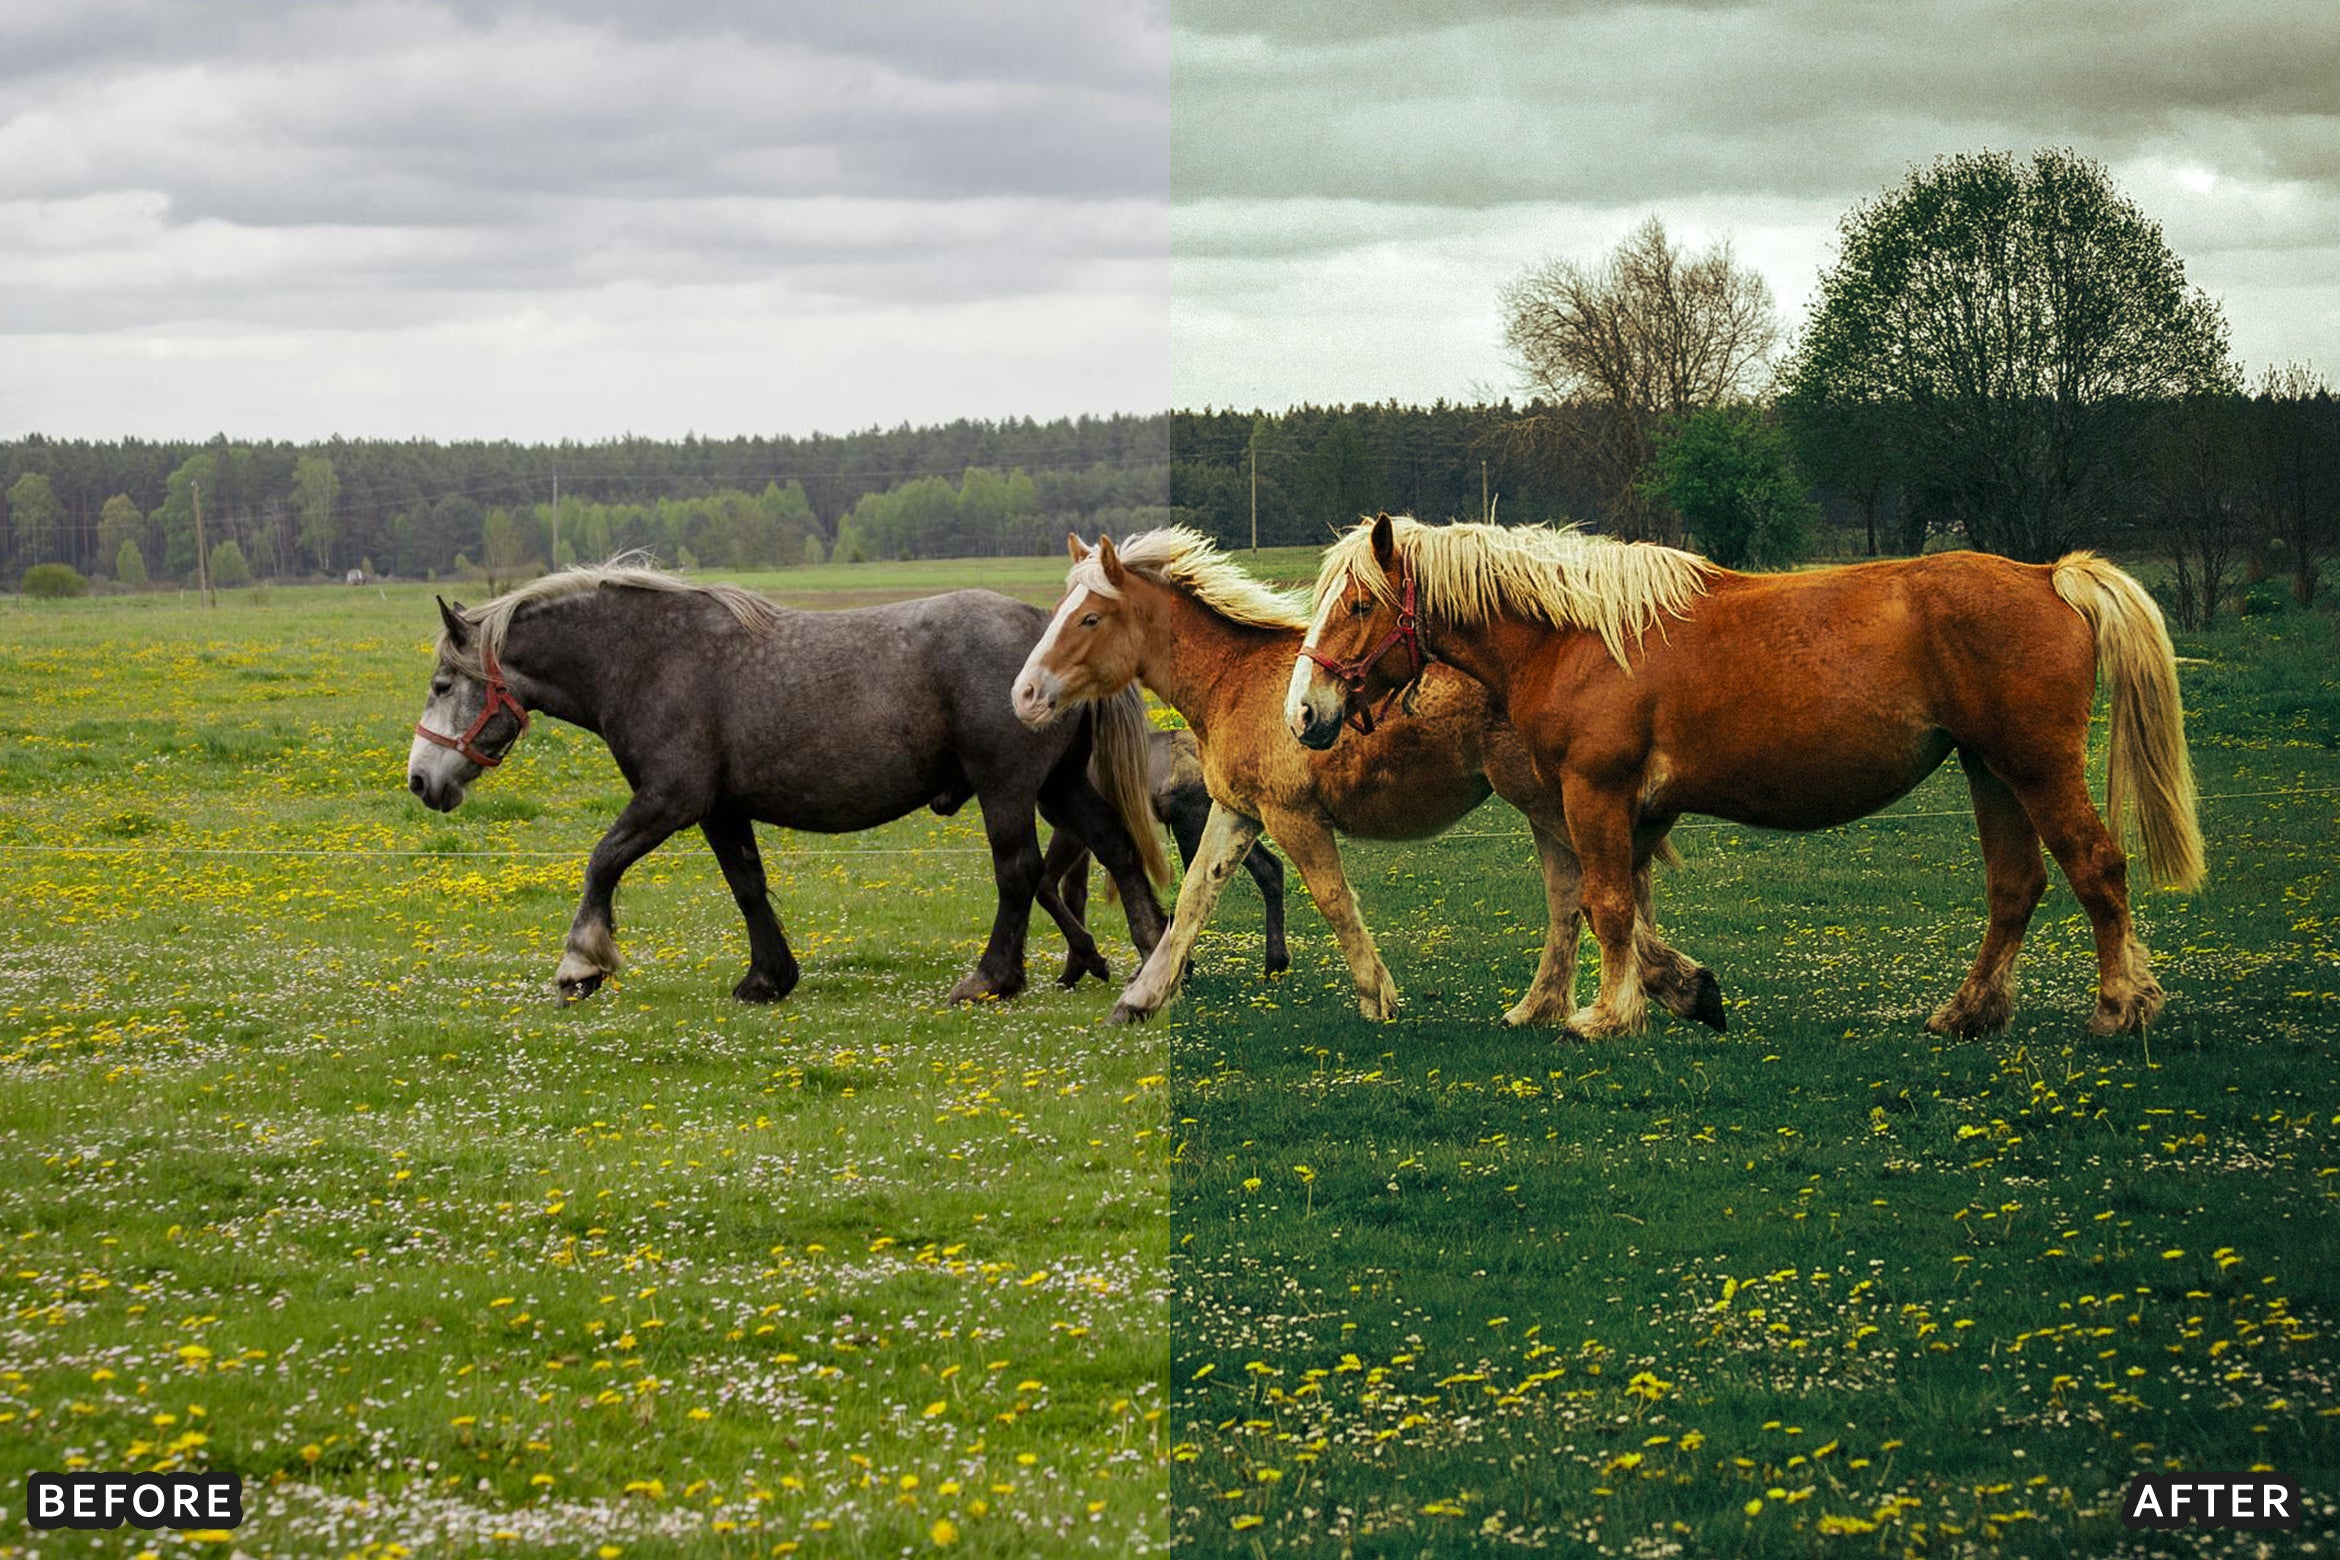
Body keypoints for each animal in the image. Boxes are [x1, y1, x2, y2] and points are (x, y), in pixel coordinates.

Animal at [404, 562, 1169, 1005]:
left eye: (442, 685)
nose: (419, 779)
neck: (650, 657)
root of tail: (1047, 634)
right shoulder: (719, 809)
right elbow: (746, 885)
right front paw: (768, 977)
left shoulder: (670, 799)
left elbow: (602, 861)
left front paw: (580, 963)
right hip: (1058, 786)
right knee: (1117, 848)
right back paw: (1152, 955)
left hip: (1008, 788)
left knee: (1018, 874)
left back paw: (992, 979)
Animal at [1011, 529, 1721, 1027]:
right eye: (1061, 607)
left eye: (1090, 618)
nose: (1025, 695)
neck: (1234, 680)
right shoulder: (1235, 812)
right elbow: (1192, 901)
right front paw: (1141, 998)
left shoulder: (1293, 818)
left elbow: (1333, 900)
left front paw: (1377, 996)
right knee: (1596, 889)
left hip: (1548, 800)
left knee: (1589, 891)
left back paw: (1656, 989)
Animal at [1289, 514, 2204, 1039]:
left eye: (1360, 604)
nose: (1305, 713)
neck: (1577, 635)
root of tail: (2049, 575)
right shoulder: (1639, 810)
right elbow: (1626, 912)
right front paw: (1683, 992)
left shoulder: (1596, 790)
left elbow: (1605, 905)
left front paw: (1604, 1016)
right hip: (1992, 772)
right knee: (2015, 887)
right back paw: (1968, 1013)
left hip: (2036, 768)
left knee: (2097, 869)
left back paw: (2118, 1007)